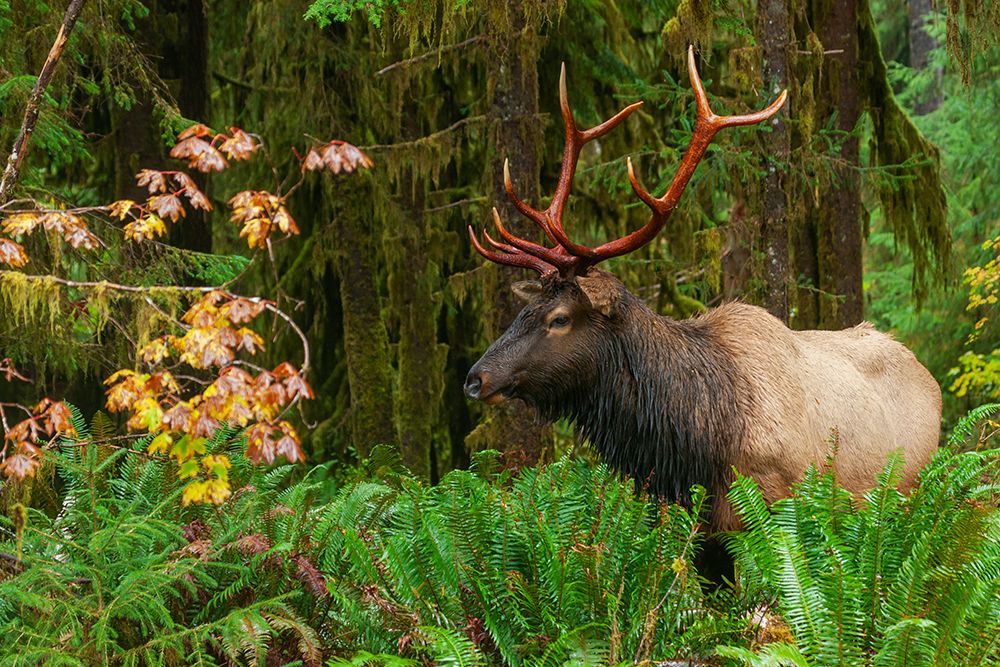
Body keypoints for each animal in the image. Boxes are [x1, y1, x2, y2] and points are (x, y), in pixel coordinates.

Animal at [464, 47, 942, 533]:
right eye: (522, 311)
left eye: (559, 318)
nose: (474, 379)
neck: (695, 447)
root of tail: (927, 376)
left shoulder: (770, 510)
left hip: (908, 494)